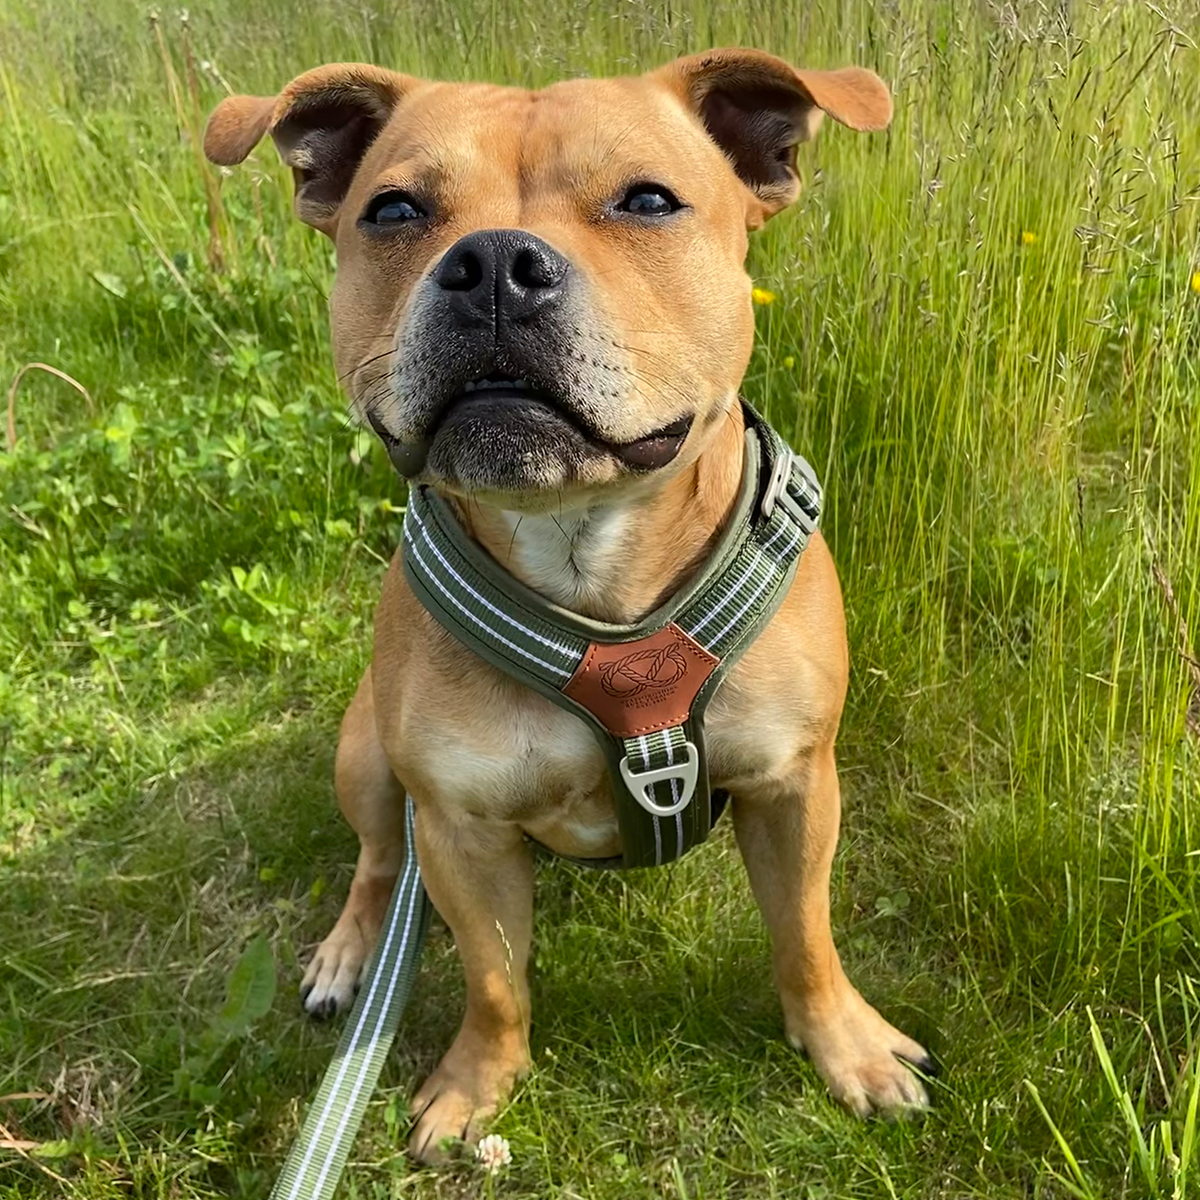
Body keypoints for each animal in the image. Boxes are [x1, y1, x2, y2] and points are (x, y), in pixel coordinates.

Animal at [206, 49, 931, 1161]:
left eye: (648, 200)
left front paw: (845, 1046)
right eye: (393, 210)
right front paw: (475, 1085)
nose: (495, 262)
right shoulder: (458, 829)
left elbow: (805, 935)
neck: (587, 559)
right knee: (375, 861)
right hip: (364, 753)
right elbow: (495, 980)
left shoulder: (796, 785)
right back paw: (348, 954)